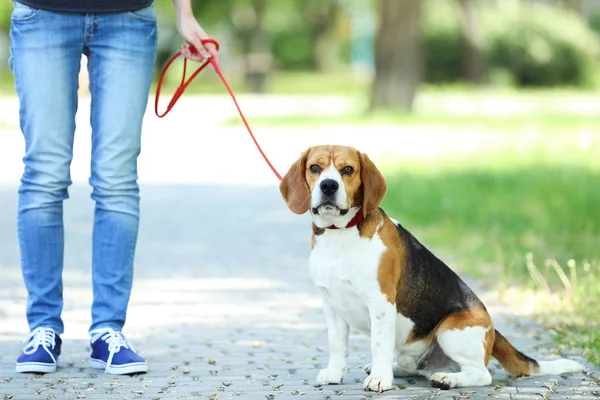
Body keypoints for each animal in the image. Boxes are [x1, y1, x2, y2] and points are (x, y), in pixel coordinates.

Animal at [278, 145, 584, 392]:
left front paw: (379, 380)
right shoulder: (331, 304)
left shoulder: (380, 303)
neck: (341, 234)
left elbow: (378, 343)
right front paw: (335, 374)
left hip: (450, 331)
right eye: (315, 168)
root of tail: (493, 330)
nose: (328, 186)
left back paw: (448, 379)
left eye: (348, 170)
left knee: (481, 374)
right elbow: (337, 344)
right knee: (415, 366)